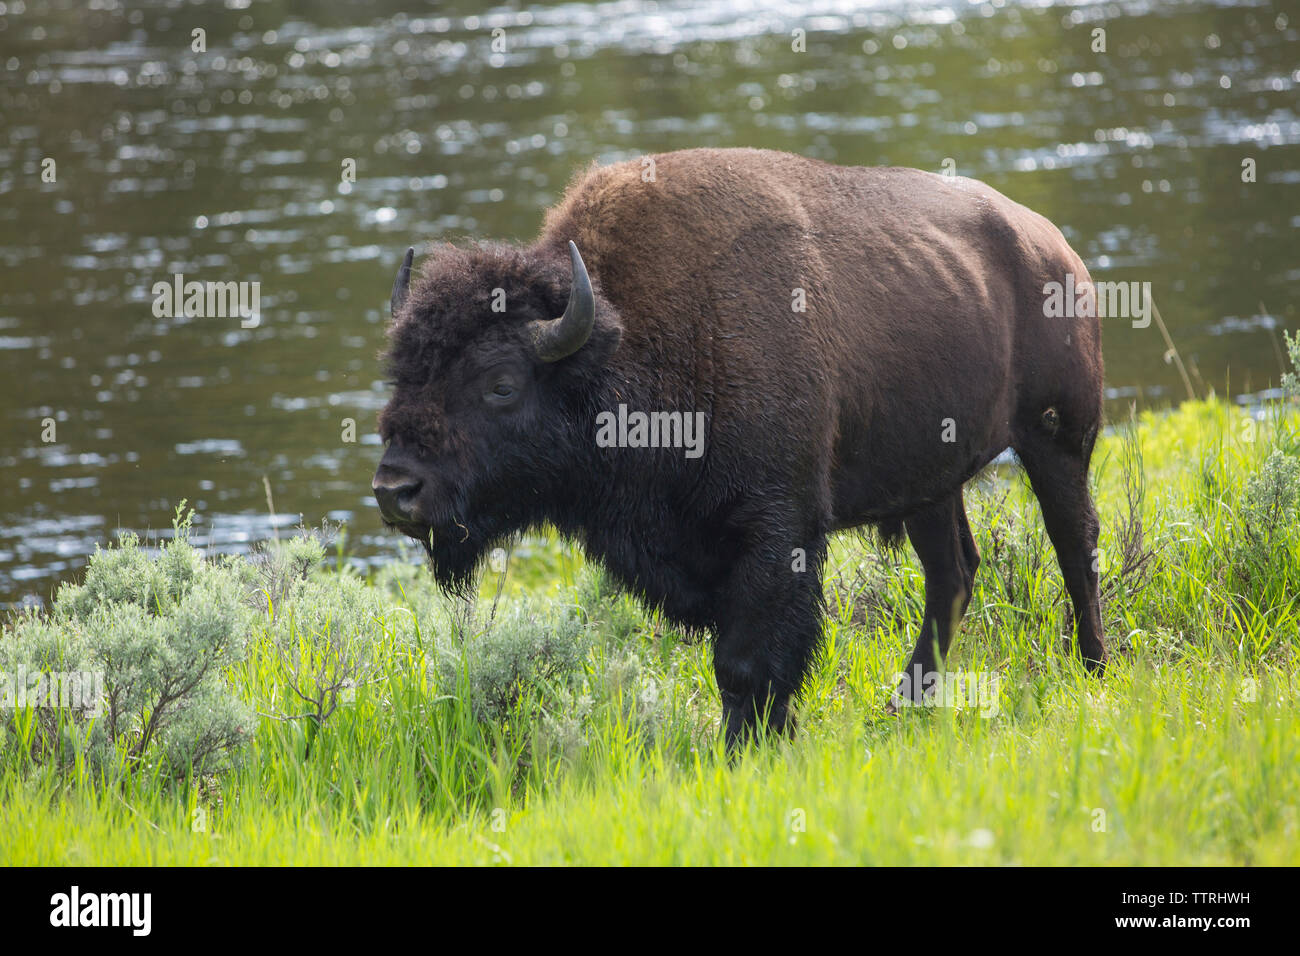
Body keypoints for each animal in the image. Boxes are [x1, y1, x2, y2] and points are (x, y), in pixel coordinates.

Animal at [371, 147, 1102, 749]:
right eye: (401, 371)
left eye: (501, 384)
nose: (394, 490)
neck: (626, 341)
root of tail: (1055, 248)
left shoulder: (776, 529)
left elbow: (748, 657)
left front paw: (745, 746)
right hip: (932, 480)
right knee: (954, 572)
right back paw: (905, 705)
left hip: (1057, 437)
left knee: (1074, 543)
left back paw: (1093, 668)